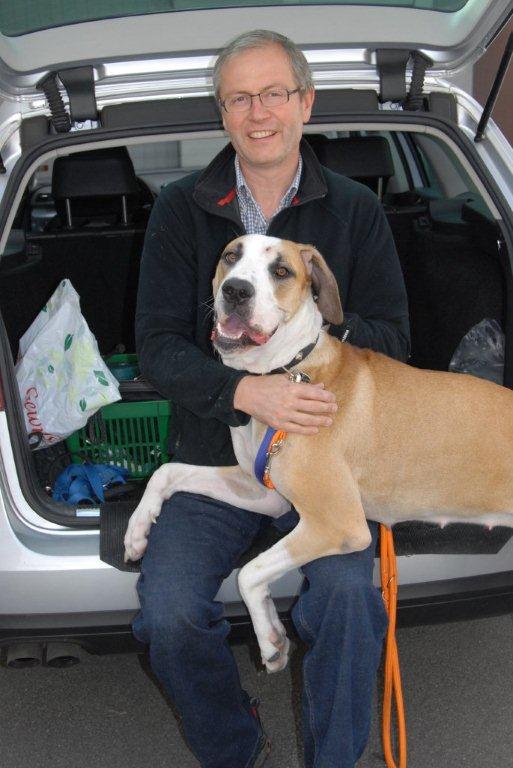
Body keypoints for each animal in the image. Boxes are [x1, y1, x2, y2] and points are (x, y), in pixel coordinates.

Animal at [125, 233, 513, 672]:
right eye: (231, 256)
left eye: (281, 271)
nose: (236, 291)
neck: (288, 369)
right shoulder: (265, 493)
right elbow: (168, 472)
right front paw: (138, 531)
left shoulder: (339, 525)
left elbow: (249, 572)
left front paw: (269, 638)